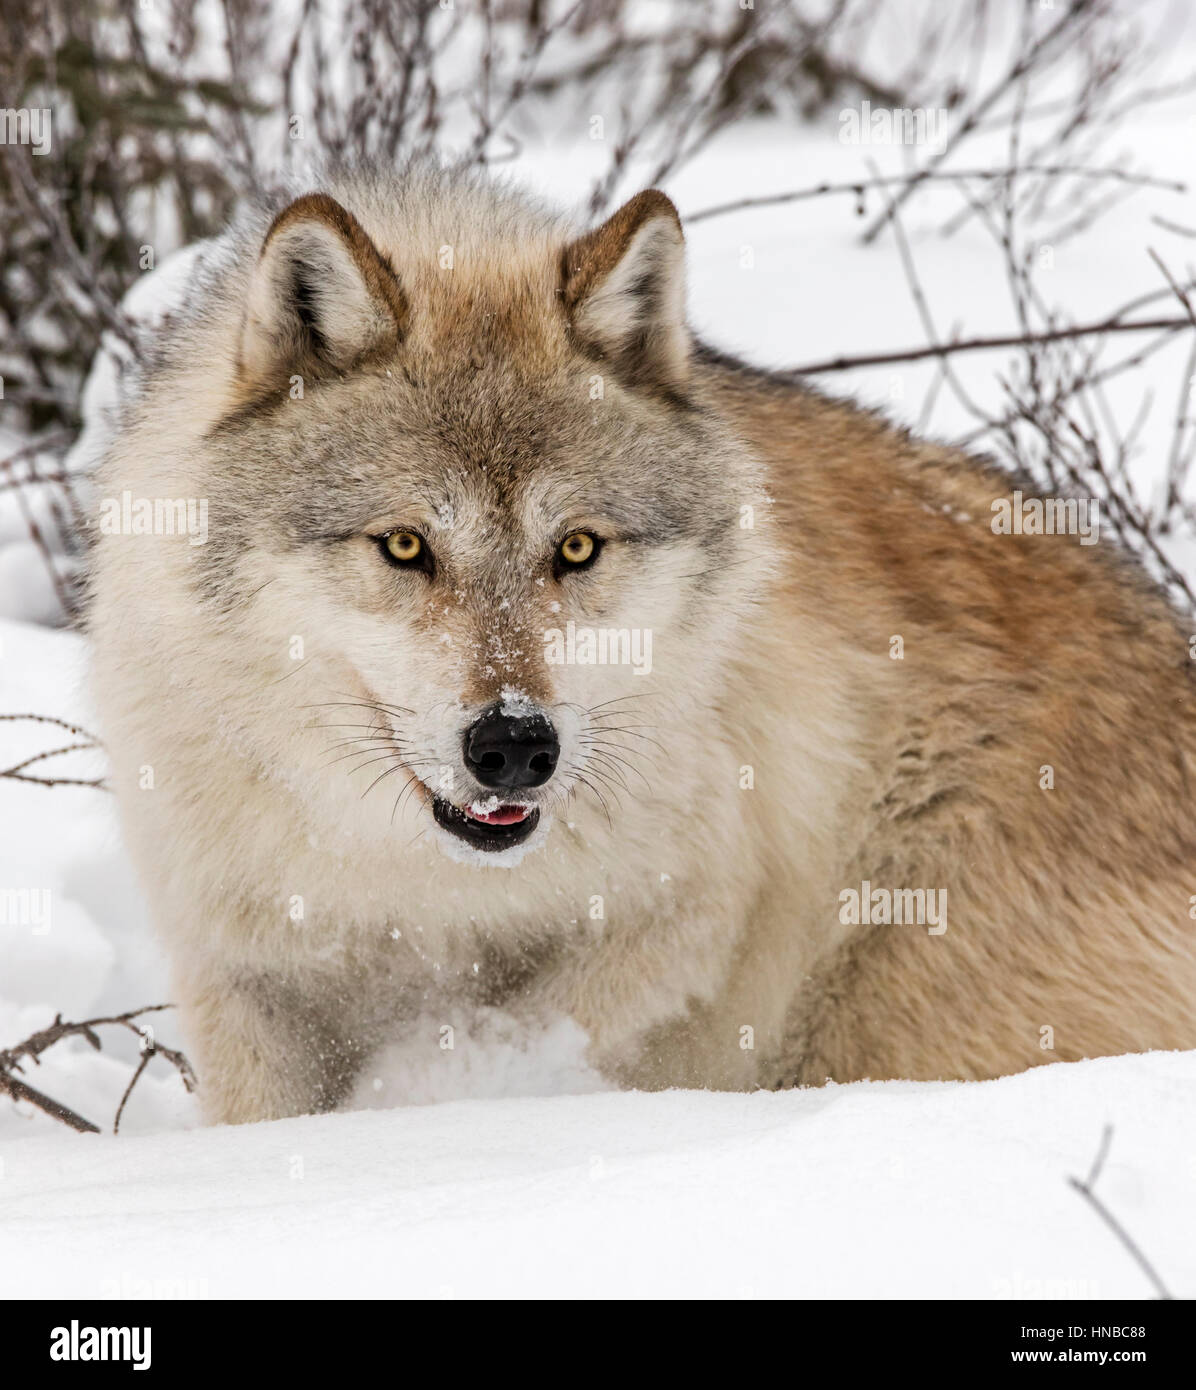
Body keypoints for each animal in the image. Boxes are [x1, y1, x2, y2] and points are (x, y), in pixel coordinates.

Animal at [89, 164, 1196, 1124]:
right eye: (405, 545)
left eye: (576, 547)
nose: (514, 747)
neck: (423, 891)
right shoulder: (247, 974)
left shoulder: (687, 920)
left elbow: (500, 1050)